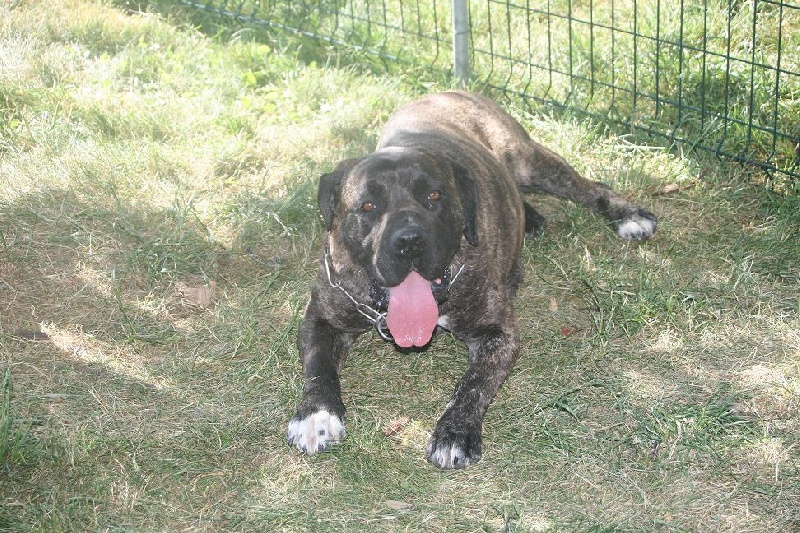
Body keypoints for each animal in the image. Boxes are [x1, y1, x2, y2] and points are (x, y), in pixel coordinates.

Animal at [287, 91, 656, 468]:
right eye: (367, 206)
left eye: (434, 197)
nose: (410, 241)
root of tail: (446, 92)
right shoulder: (321, 317)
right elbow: (318, 367)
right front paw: (316, 415)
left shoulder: (497, 333)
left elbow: (473, 384)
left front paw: (455, 432)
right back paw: (531, 217)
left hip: (527, 159)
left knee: (589, 186)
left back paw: (628, 215)